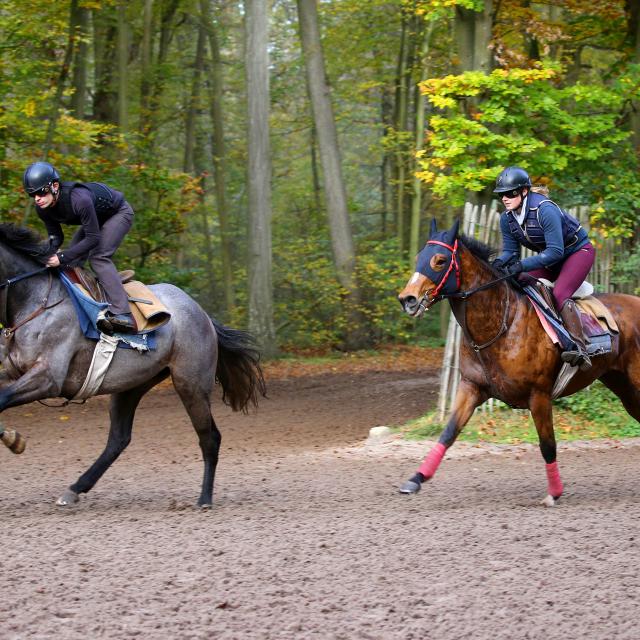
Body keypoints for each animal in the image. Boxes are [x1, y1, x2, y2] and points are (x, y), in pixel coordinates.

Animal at [0, 222, 264, 508]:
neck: (35, 301)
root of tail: (202, 314)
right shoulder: (15, 370)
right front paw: (13, 439)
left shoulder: (48, 378)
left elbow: (1, 399)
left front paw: (14, 440)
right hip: (130, 386)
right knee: (119, 439)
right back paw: (75, 488)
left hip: (191, 384)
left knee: (210, 436)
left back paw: (204, 498)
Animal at [396, 220, 640, 504]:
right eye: (418, 257)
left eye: (440, 260)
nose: (407, 299)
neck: (500, 323)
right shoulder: (471, 387)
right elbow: (448, 433)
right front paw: (415, 479)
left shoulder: (539, 395)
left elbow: (548, 445)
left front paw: (554, 493)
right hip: (624, 388)